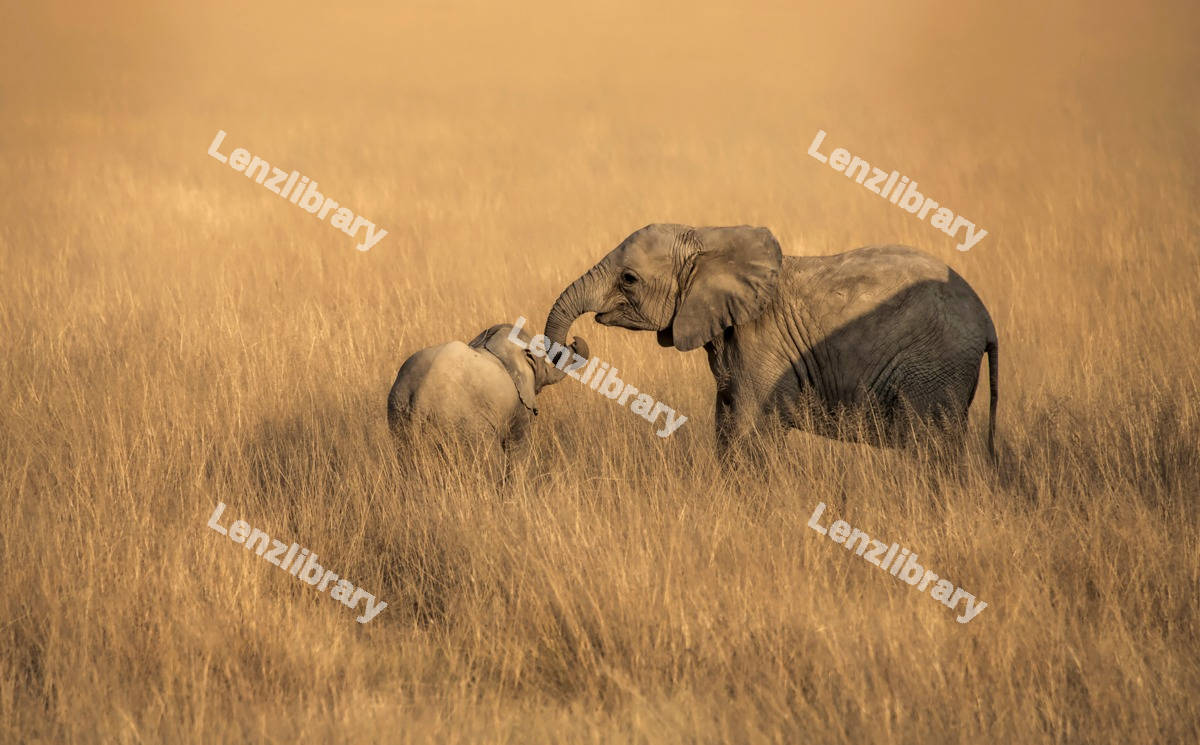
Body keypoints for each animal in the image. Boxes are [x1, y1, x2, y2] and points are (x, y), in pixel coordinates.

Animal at [387, 322, 588, 459]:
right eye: (541, 364)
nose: (574, 341)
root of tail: (421, 397)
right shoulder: (521, 405)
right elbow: (518, 447)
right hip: (465, 425)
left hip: (399, 413)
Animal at [542, 224, 998, 463]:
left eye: (629, 279)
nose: (578, 341)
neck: (708, 240)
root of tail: (986, 319)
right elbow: (726, 422)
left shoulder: (763, 342)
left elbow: (748, 428)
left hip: (934, 366)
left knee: (930, 446)